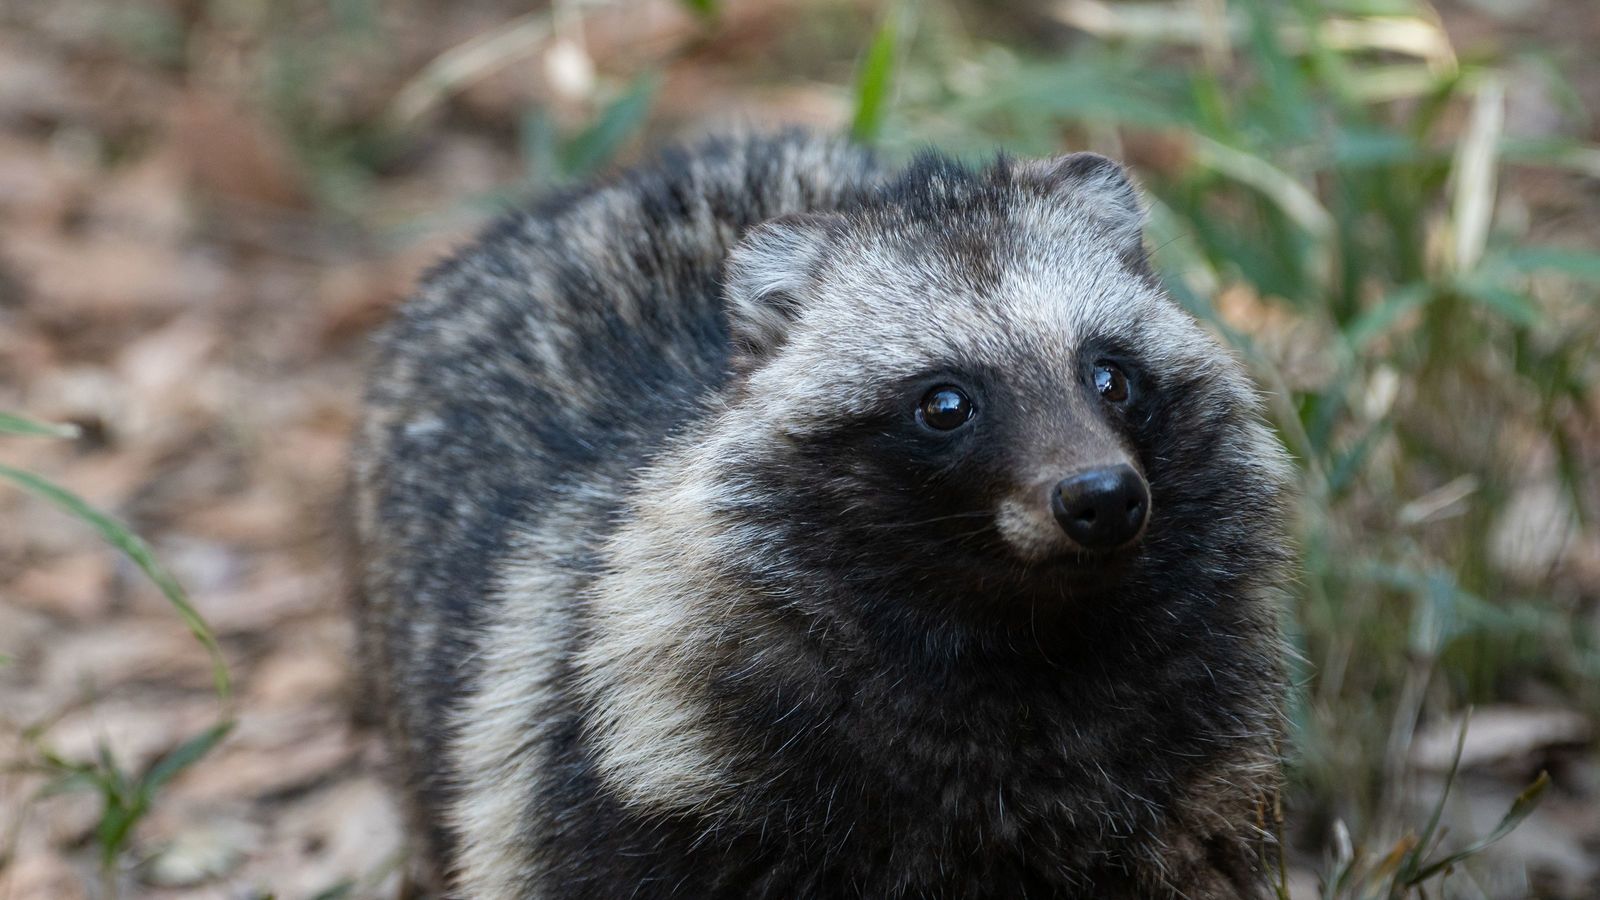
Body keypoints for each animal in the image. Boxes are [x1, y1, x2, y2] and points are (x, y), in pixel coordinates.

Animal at [347, 128, 1286, 896]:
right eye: (945, 403)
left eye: (1110, 374)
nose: (1101, 497)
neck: (1019, 640)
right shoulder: (636, 776)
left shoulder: (1188, 775)